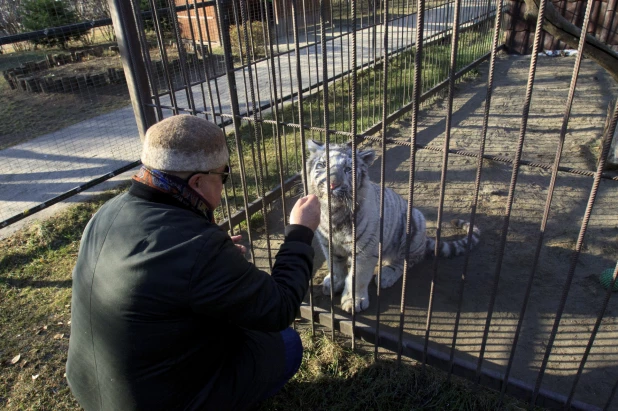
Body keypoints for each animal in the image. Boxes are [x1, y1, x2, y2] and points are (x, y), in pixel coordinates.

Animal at [306, 140, 478, 314]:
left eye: (348, 169)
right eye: (322, 165)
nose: (332, 184)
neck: (334, 213)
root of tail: (425, 240)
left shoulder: (365, 249)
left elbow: (358, 277)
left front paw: (354, 301)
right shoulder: (328, 243)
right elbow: (335, 265)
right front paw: (334, 282)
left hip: (413, 225)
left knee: (407, 261)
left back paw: (386, 275)